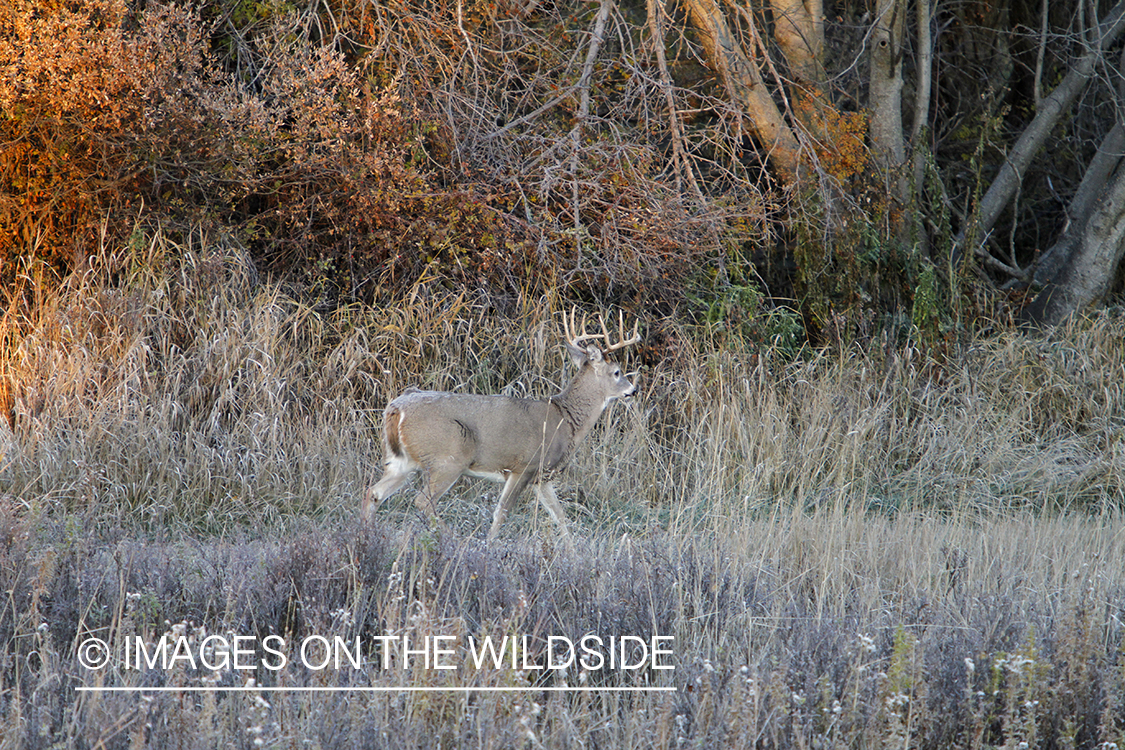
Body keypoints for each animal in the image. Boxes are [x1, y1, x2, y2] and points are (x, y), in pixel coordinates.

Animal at [364, 310, 639, 539]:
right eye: (617, 372)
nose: (633, 390)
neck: (566, 419)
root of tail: (396, 408)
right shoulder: (523, 465)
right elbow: (502, 513)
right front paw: (490, 545)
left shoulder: (542, 476)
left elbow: (560, 516)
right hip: (448, 459)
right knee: (422, 503)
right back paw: (455, 541)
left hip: (401, 461)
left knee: (374, 493)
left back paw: (365, 536)